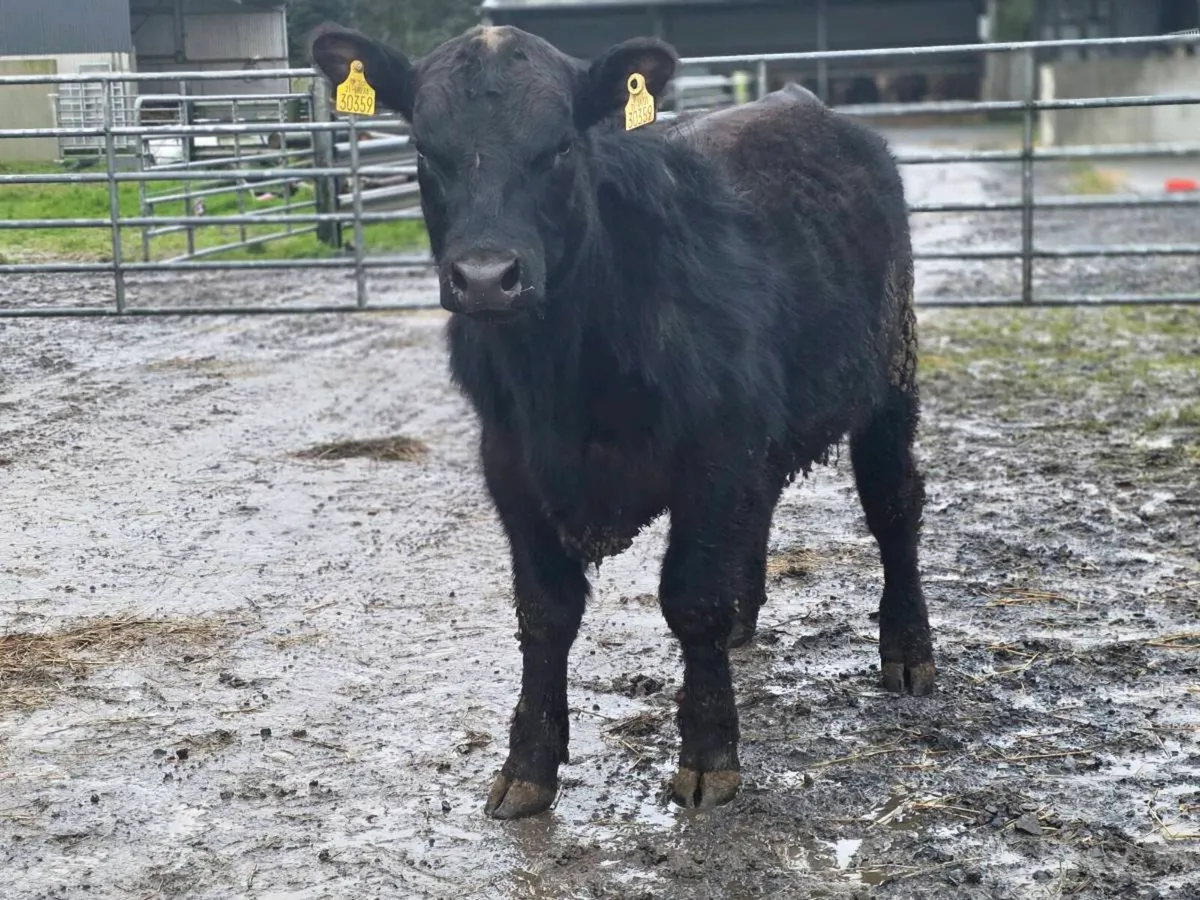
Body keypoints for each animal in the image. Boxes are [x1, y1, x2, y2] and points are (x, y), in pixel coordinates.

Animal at [311, 21, 936, 821]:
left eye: (560, 147)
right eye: (423, 149)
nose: (485, 278)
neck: (564, 374)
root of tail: (807, 103)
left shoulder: (716, 452)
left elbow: (691, 599)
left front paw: (708, 754)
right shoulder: (511, 464)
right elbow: (544, 613)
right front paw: (528, 764)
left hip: (890, 374)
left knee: (894, 506)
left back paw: (908, 649)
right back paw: (747, 619)